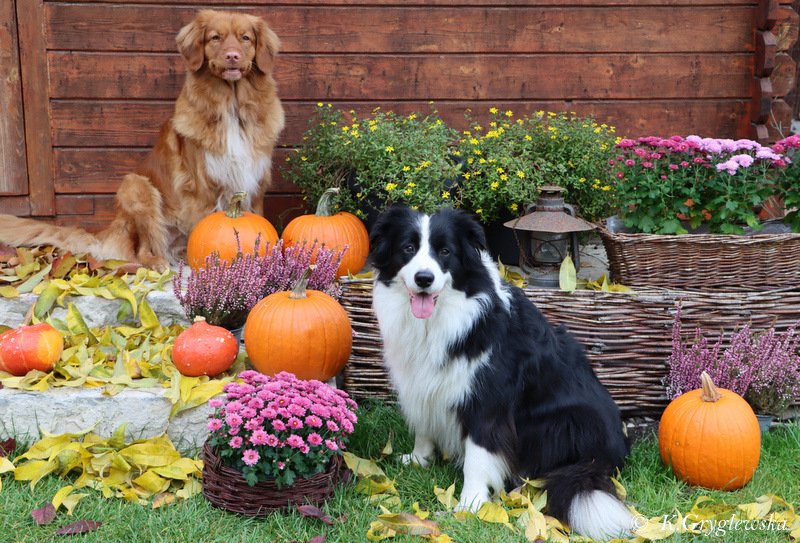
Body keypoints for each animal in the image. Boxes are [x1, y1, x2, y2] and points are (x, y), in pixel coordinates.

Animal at [0, 10, 284, 270]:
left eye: (246, 38)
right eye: (215, 38)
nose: (232, 56)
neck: (232, 106)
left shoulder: (255, 183)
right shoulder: (202, 188)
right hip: (136, 187)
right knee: (143, 249)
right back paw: (157, 262)